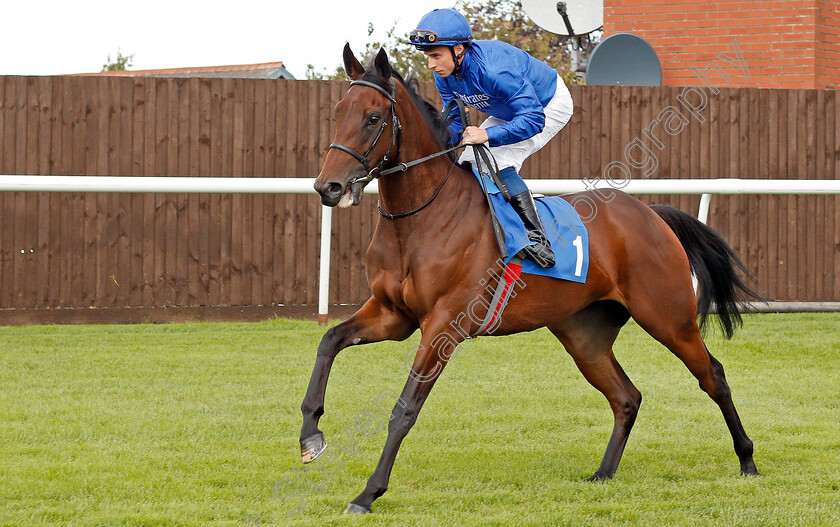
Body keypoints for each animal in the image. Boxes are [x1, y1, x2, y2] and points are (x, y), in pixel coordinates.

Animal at [302, 46, 760, 516]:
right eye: (339, 111)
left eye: (373, 117)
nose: (327, 186)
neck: (421, 219)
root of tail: (651, 213)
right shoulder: (393, 315)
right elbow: (329, 341)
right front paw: (311, 436)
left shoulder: (444, 324)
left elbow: (404, 408)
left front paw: (368, 492)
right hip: (584, 335)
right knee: (626, 397)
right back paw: (602, 473)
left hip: (668, 317)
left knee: (713, 376)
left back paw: (747, 459)